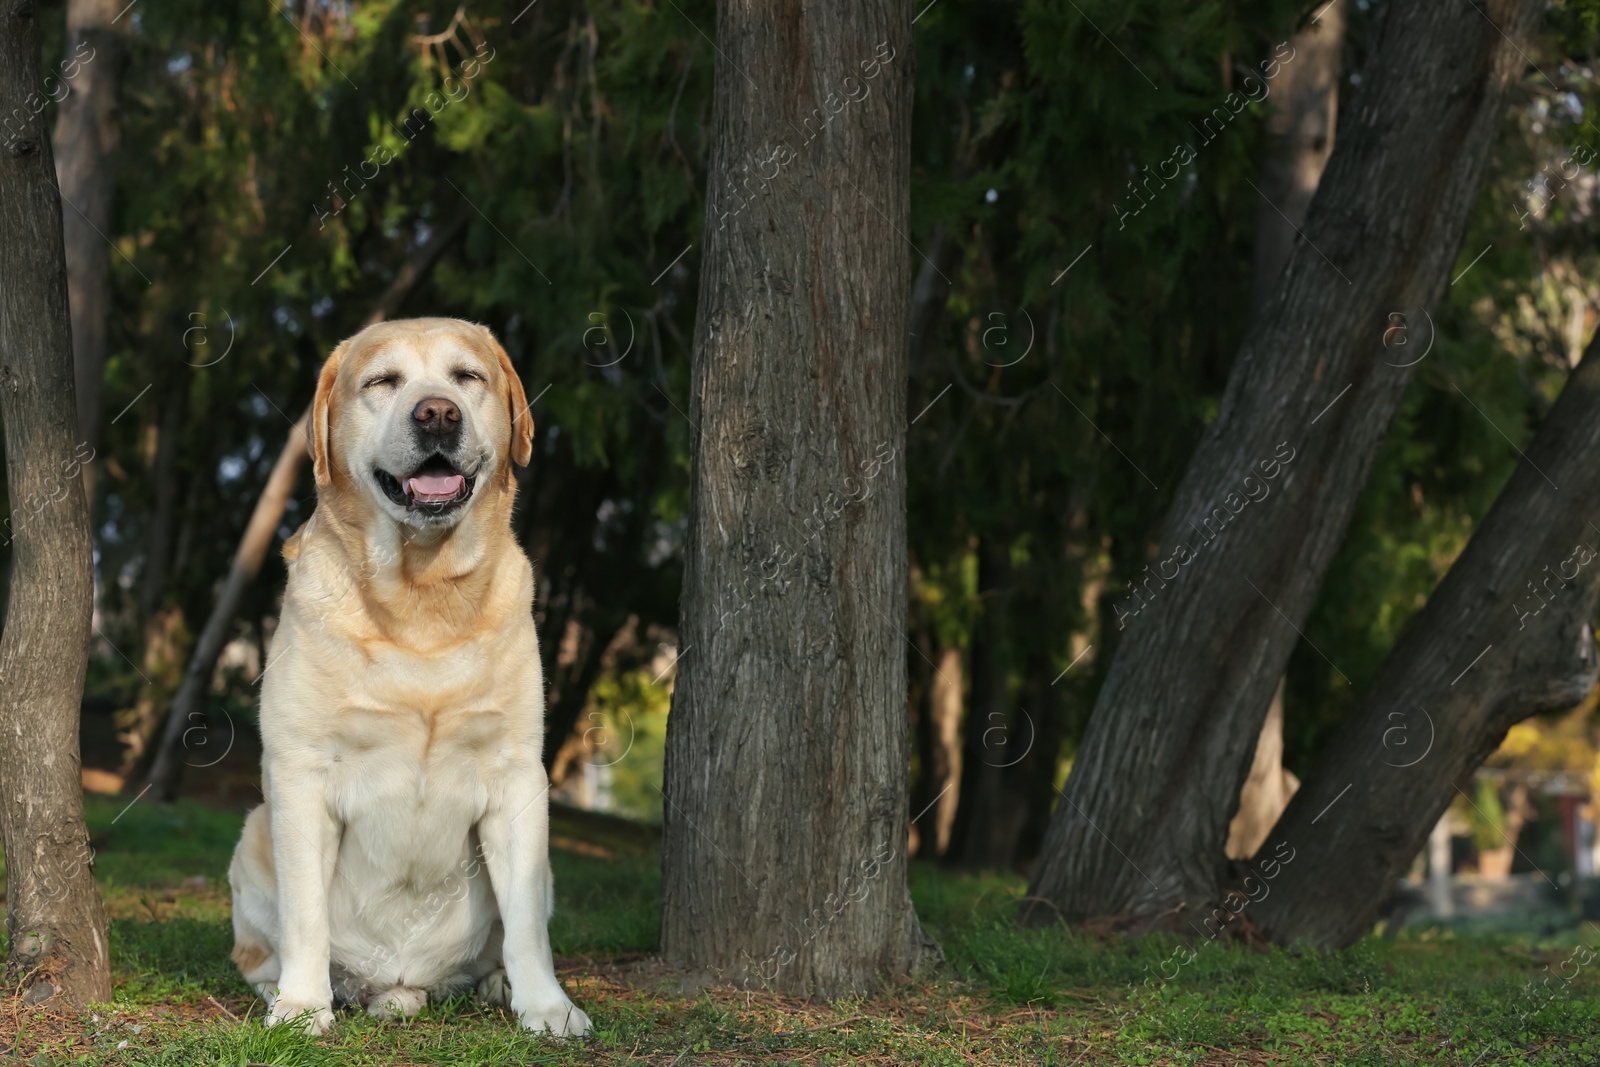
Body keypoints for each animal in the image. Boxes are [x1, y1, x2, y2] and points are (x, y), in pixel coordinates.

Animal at [228, 316, 592, 1036]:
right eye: (382, 381)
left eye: (467, 376)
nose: (438, 414)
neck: (421, 598)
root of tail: (400, 983)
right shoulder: (300, 772)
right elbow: (304, 914)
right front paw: (302, 1004)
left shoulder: (518, 775)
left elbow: (527, 926)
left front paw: (546, 1006)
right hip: (253, 835)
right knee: (262, 948)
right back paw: (296, 990)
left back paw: (494, 982)